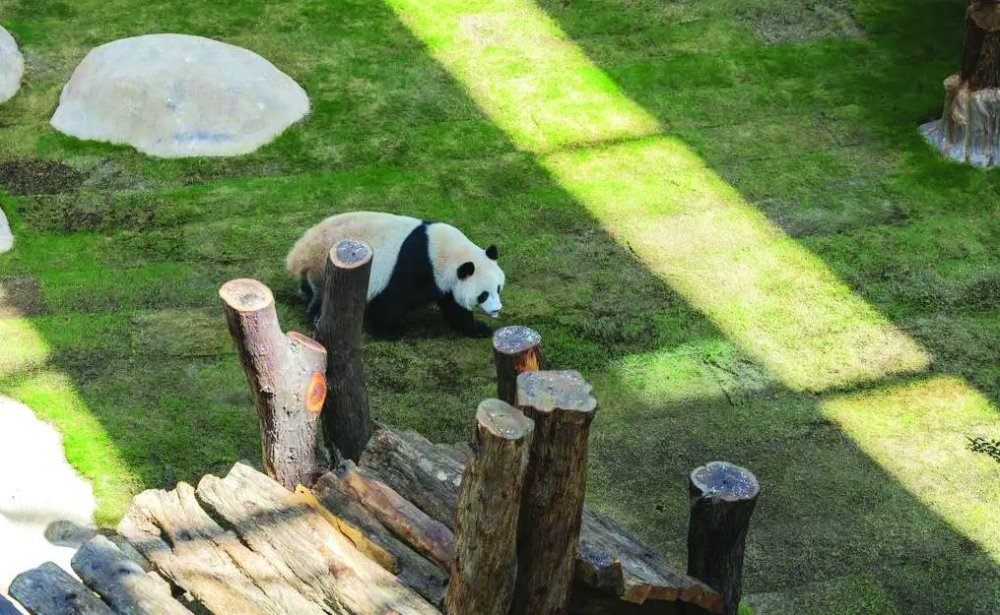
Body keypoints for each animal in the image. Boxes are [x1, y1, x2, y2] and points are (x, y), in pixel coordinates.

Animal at [286, 211, 505, 340]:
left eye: (498, 288)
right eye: (483, 294)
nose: (497, 309)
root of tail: (302, 252)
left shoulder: (446, 281)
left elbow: (455, 308)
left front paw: (479, 329)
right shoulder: (413, 268)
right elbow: (391, 303)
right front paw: (391, 332)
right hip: (326, 267)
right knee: (324, 297)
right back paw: (315, 318)